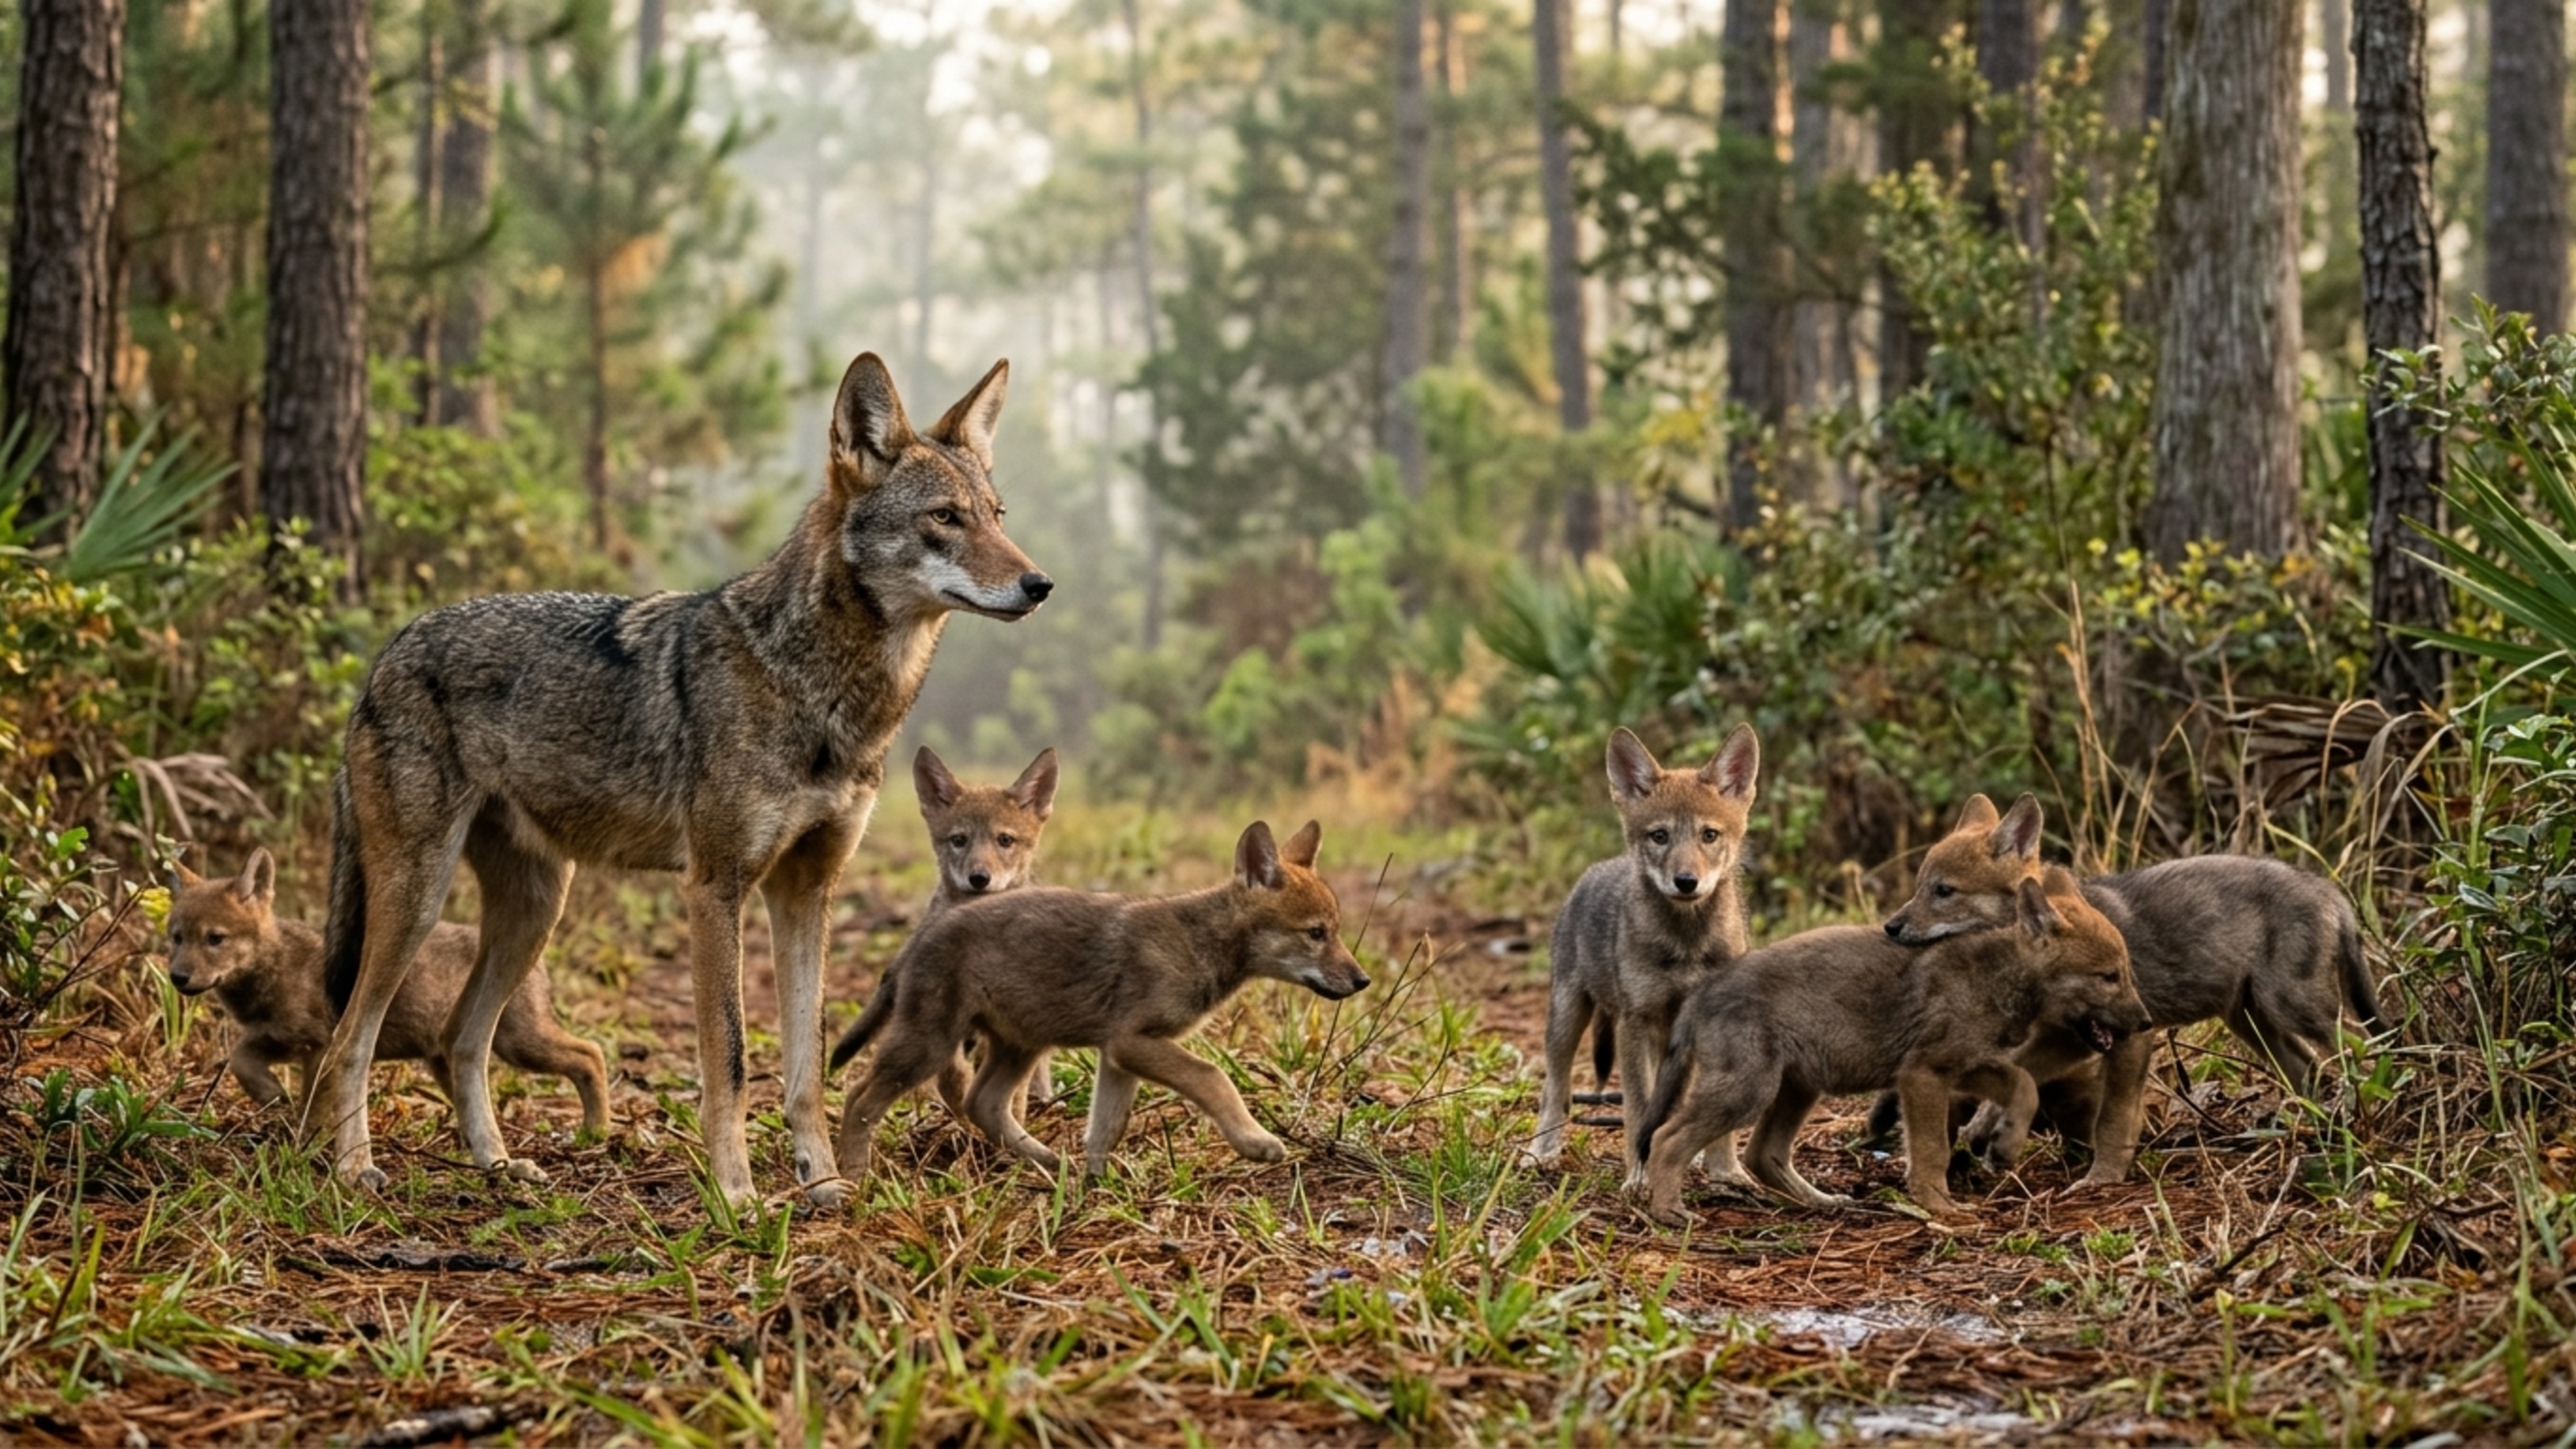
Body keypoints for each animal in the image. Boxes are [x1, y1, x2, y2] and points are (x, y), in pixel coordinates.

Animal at [166, 850, 607, 1135]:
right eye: (176, 937)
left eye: (215, 939)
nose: (178, 977)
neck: (276, 968)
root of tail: (541, 964)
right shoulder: (273, 1040)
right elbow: (240, 1061)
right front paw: (273, 1097)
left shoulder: (319, 1046)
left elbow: (313, 1108)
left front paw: (303, 1144)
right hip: (449, 1059)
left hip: (520, 1044)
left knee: (591, 1053)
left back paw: (597, 1132)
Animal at [830, 820, 1370, 1183]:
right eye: (1316, 934)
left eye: (1335, 931)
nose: (1362, 980)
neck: (1199, 942)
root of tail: (917, 939)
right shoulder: (1134, 1041)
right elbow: (1213, 1078)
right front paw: (1256, 1143)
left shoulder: (1117, 1056)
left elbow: (1106, 1128)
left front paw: (1098, 1182)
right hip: (931, 1043)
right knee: (859, 1097)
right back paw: (851, 1179)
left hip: (1021, 1044)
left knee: (983, 1104)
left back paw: (1051, 1162)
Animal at [1524, 724, 1759, 1185]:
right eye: (1659, 836)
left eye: (1709, 835)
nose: (1686, 881)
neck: (1688, 946)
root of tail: (1593, 871)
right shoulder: (1635, 1024)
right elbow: (1637, 1109)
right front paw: (1638, 1178)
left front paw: (1726, 1172)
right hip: (1567, 1018)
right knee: (1554, 1088)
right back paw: (1542, 1151)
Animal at [1633, 866, 2151, 1225]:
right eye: (2109, 976)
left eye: (2126, 972)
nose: (2146, 1021)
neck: (2001, 976)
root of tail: (1702, 993)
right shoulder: (1922, 1074)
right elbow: (1931, 1150)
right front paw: (1940, 1207)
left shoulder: (1967, 1065)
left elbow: (2024, 1086)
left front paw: (2004, 1147)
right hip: (1749, 1091)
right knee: (1667, 1138)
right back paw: (1668, 1211)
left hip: (1798, 1087)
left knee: (1763, 1154)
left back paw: (1823, 1202)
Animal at [1871, 793, 2380, 1184]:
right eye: (1920, 886)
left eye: (1943, 891)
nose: (1890, 927)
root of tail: (2330, 889)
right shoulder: (2064, 1038)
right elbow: (2015, 1079)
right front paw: (1980, 1134)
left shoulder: (2133, 1034)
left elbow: (2113, 1120)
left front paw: (2102, 1178)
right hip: (2253, 1023)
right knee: (2312, 1070)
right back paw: (2314, 1131)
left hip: (2293, 1008)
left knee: (2364, 1046)